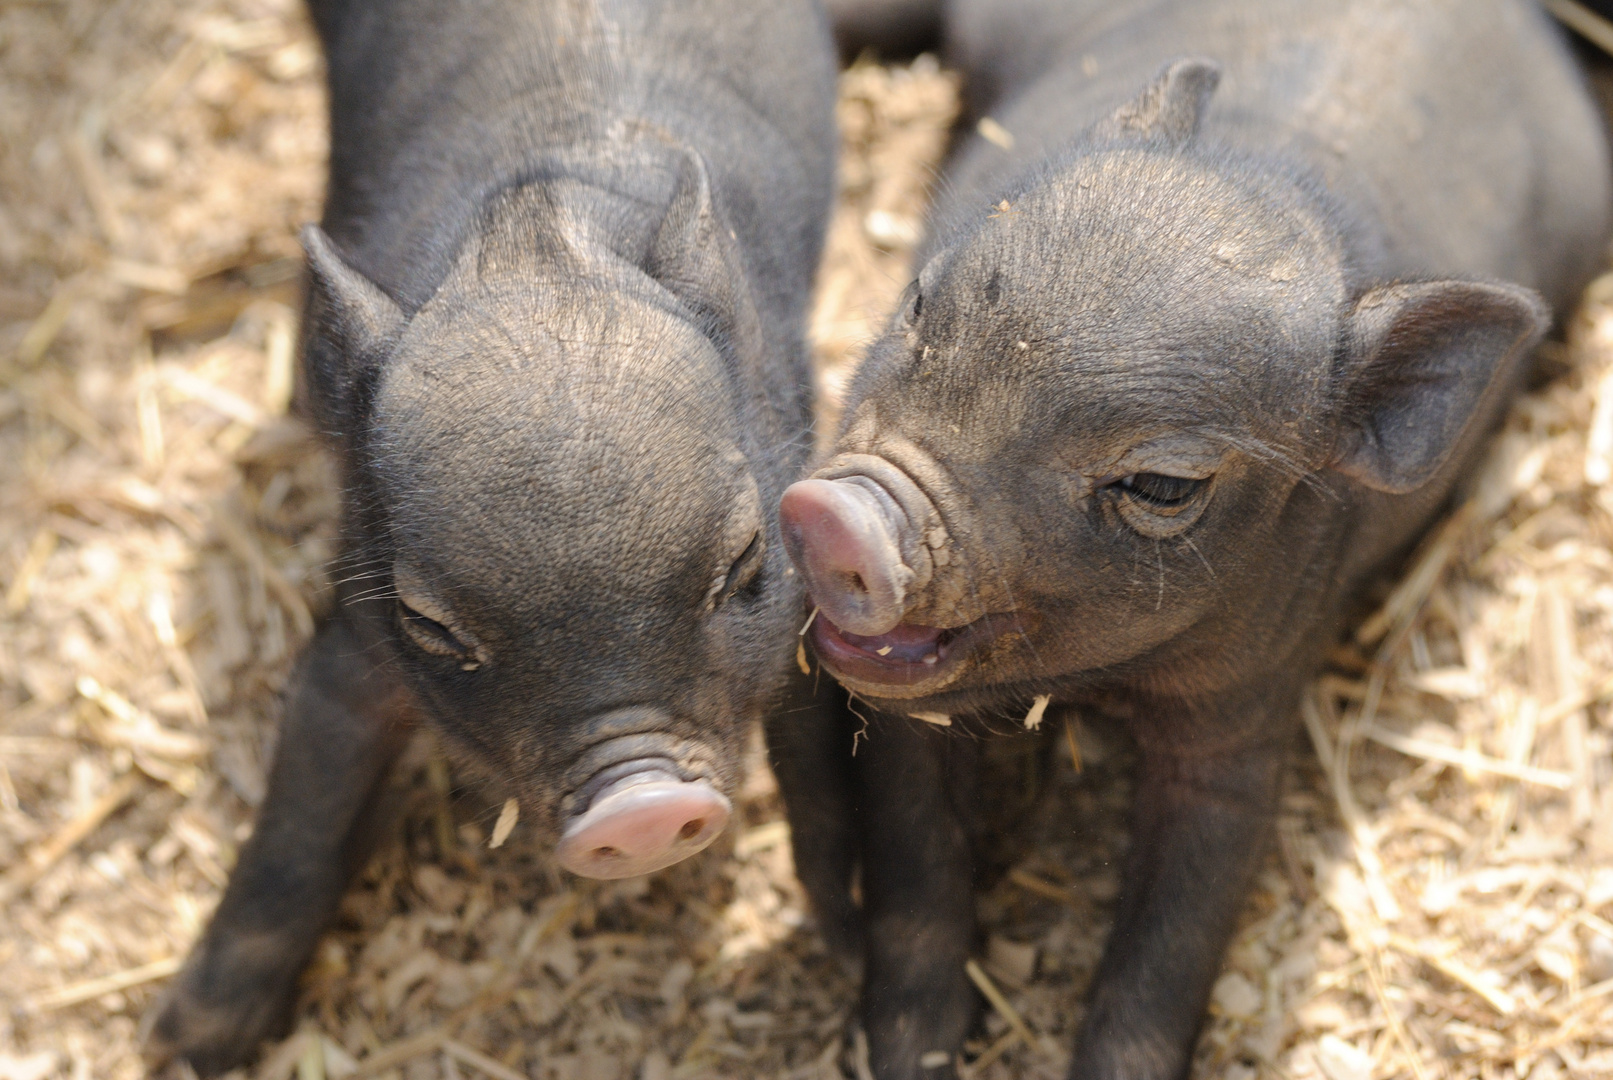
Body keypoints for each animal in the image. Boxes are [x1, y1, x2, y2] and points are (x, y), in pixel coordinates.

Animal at [145, 0, 838, 1076]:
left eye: (740, 566)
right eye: (434, 626)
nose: (640, 808)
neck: (536, 234)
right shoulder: (356, 634)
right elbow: (301, 811)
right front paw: (180, 1044)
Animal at [774, 4, 1606, 1076]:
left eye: (1162, 486)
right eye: (920, 303)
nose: (841, 512)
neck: (1102, 693)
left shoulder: (1248, 714)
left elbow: (1173, 944)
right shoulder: (909, 722)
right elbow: (916, 863)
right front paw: (902, 1050)